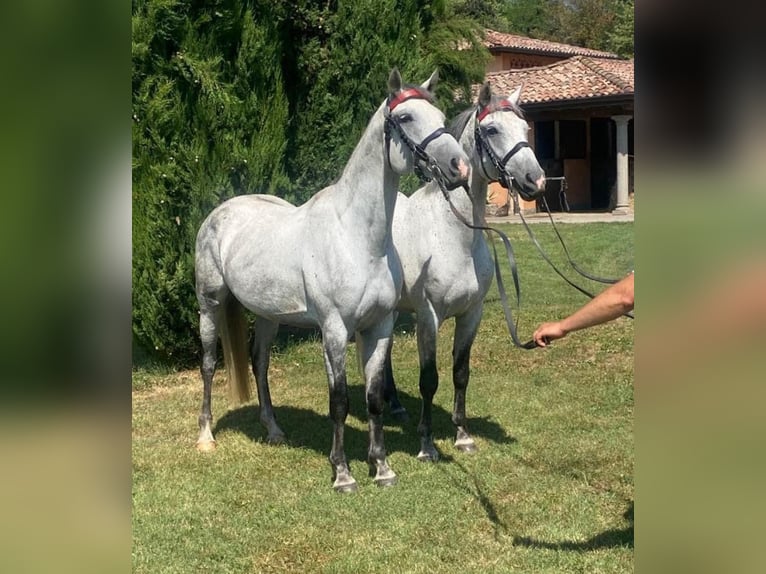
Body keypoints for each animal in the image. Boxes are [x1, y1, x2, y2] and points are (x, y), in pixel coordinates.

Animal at [194, 70, 468, 492]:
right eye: (405, 117)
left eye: (440, 116)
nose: (458, 167)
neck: (357, 237)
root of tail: (220, 212)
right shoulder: (336, 330)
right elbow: (339, 400)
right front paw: (342, 473)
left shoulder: (379, 327)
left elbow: (374, 397)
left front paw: (382, 467)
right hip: (210, 303)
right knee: (208, 364)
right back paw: (206, 436)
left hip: (269, 315)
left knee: (259, 363)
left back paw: (274, 430)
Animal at [384, 82, 544, 464]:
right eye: (492, 130)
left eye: (525, 129)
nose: (535, 180)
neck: (454, 234)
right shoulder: (428, 317)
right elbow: (429, 379)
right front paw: (427, 444)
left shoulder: (472, 314)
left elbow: (460, 373)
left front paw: (463, 435)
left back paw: (394, 405)